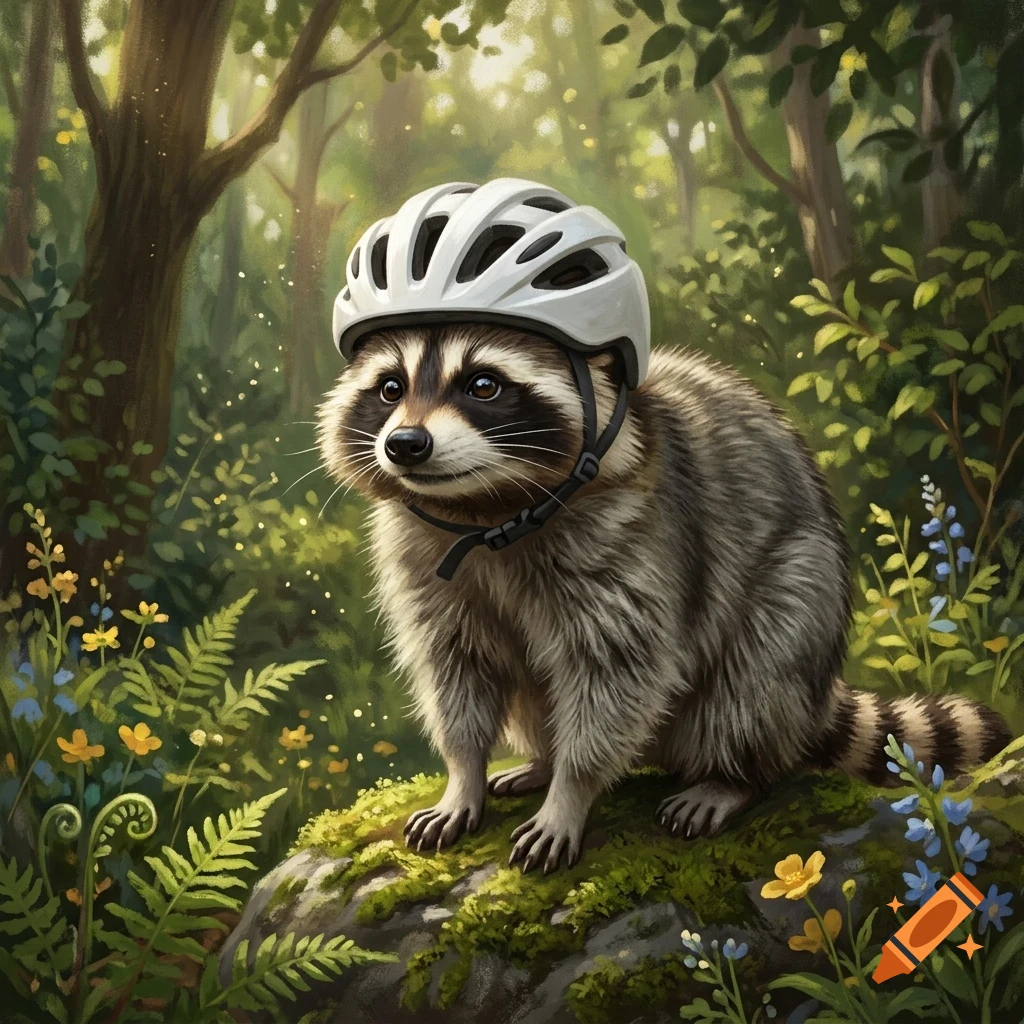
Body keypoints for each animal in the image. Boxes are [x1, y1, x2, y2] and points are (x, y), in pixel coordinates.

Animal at [316, 323, 1011, 873]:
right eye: (390, 388)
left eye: (482, 385)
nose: (405, 445)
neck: (488, 510)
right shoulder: (422, 558)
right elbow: (457, 666)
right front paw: (464, 774)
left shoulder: (634, 537)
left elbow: (618, 671)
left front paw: (571, 792)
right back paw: (541, 758)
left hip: (801, 596)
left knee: (758, 669)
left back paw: (729, 776)